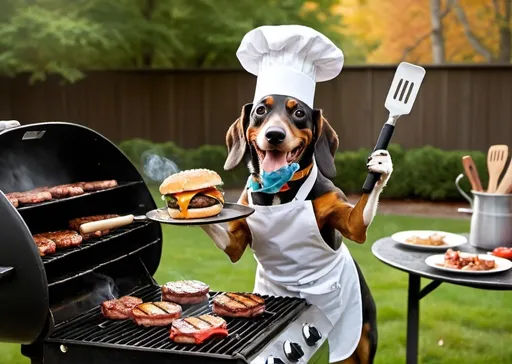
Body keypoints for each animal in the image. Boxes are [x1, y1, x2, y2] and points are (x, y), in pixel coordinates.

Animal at [202, 94, 394, 364]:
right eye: (260, 110)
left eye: (299, 113)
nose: (274, 134)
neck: (279, 190)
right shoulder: (235, 242)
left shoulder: (353, 224)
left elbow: (361, 214)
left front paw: (381, 165)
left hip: (364, 340)